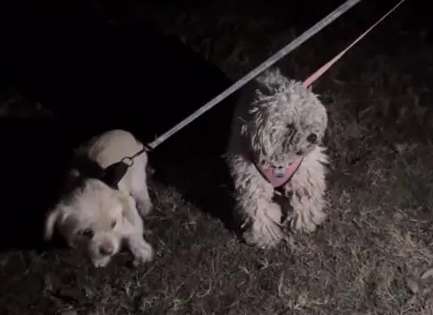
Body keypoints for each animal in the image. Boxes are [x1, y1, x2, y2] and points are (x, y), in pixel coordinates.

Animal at [45, 130, 154, 268]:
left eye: (113, 224)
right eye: (86, 233)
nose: (108, 250)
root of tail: (124, 132)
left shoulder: (128, 204)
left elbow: (134, 227)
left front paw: (141, 250)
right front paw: (100, 259)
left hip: (137, 175)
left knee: (141, 190)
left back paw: (144, 205)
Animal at [226, 68, 328, 249]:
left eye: (309, 116)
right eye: (289, 126)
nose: (312, 137)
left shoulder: (303, 177)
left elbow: (303, 202)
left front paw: (303, 225)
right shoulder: (253, 184)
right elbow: (260, 211)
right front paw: (265, 238)